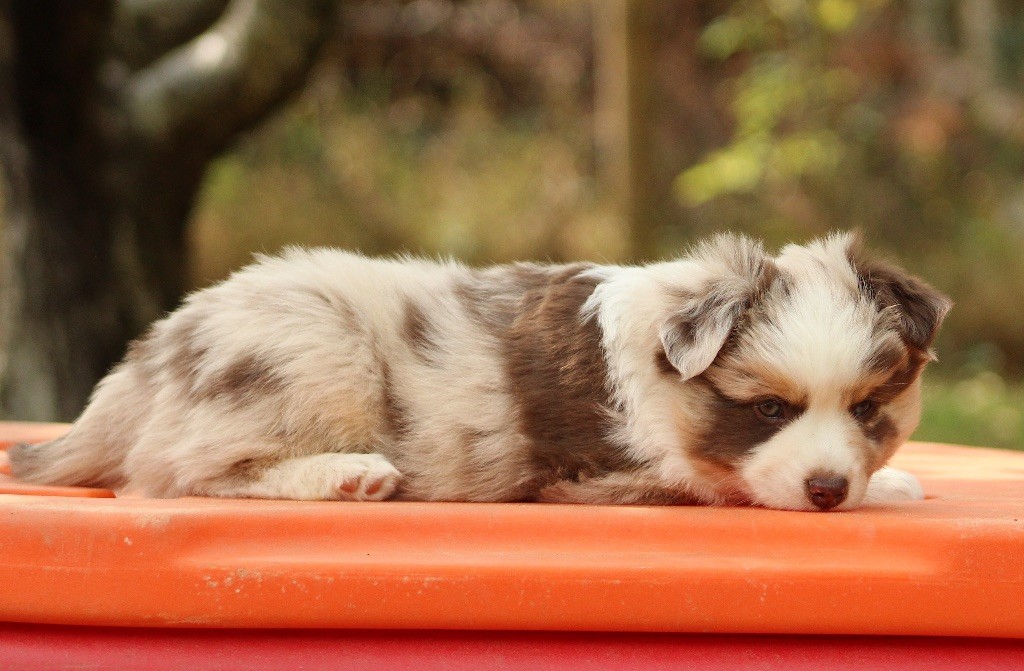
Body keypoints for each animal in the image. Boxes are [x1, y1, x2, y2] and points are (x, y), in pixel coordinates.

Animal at [8, 232, 950, 510]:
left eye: (869, 407)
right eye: (767, 411)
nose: (829, 489)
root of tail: (143, 364)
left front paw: (886, 483)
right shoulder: (601, 476)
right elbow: (716, 483)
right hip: (311, 351)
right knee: (175, 474)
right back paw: (348, 474)